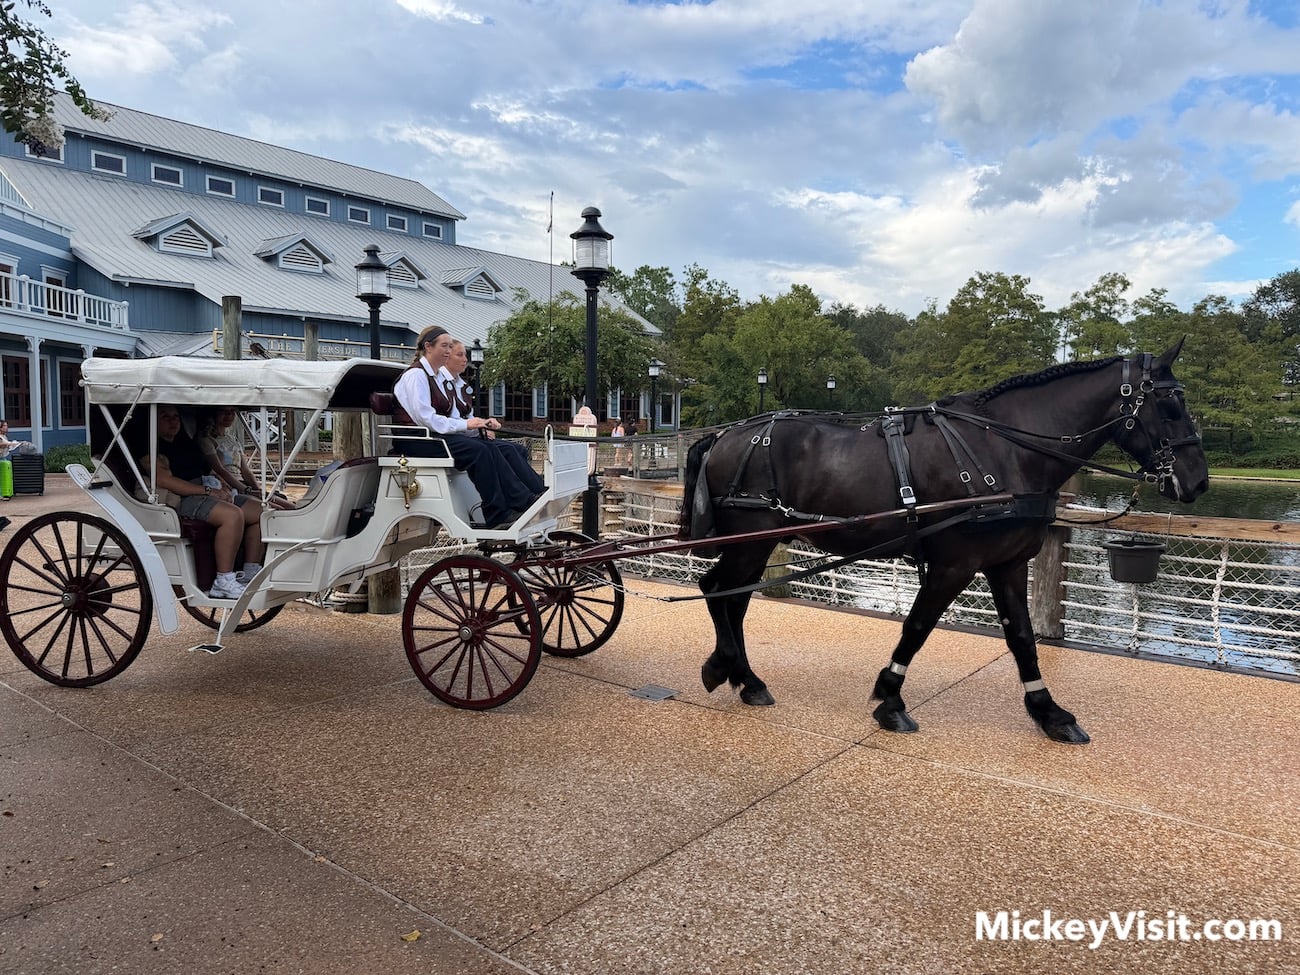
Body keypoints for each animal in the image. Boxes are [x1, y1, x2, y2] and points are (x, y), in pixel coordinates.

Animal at [678, 342, 1208, 744]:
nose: (1198, 481)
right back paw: (733, 670)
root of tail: (725, 435)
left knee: (734, 599)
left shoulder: (1007, 564)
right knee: (716, 590)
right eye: (1170, 405)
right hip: (750, 540)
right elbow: (917, 628)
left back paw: (740, 676)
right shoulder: (955, 564)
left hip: (758, 542)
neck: (1006, 450)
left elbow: (1022, 639)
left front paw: (1048, 711)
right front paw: (890, 699)